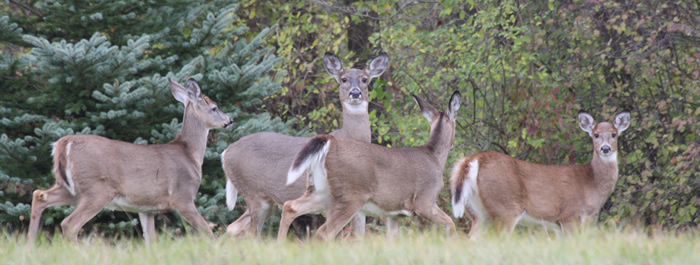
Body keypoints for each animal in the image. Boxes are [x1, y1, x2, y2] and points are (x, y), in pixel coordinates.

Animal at [26, 77, 234, 243]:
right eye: (214, 107)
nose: (230, 120)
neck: (191, 154)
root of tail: (64, 143)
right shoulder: (183, 196)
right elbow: (207, 231)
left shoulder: (146, 208)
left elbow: (151, 240)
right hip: (97, 189)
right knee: (69, 224)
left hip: (72, 188)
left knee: (39, 195)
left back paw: (30, 248)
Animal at [221, 52, 388, 236]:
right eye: (343, 79)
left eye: (365, 79)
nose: (356, 93)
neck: (348, 136)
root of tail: (225, 154)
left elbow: (359, 234)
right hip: (253, 193)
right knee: (251, 231)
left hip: (269, 201)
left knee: (234, 226)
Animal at [276, 90, 462, 239]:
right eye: (456, 124)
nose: (454, 143)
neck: (434, 157)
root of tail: (330, 141)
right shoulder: (424, 201)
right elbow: (451, 223)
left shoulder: (394, 213)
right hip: (351, 195)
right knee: (324, 232)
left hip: (321, 191)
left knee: (290, 206)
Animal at [452, 109, 632, 235]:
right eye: (596, 134)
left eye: (614, 134)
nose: (605, 148)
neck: (591, 184)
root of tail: (474, 159)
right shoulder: (570, 215)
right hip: (506, 207)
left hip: (476, 212)